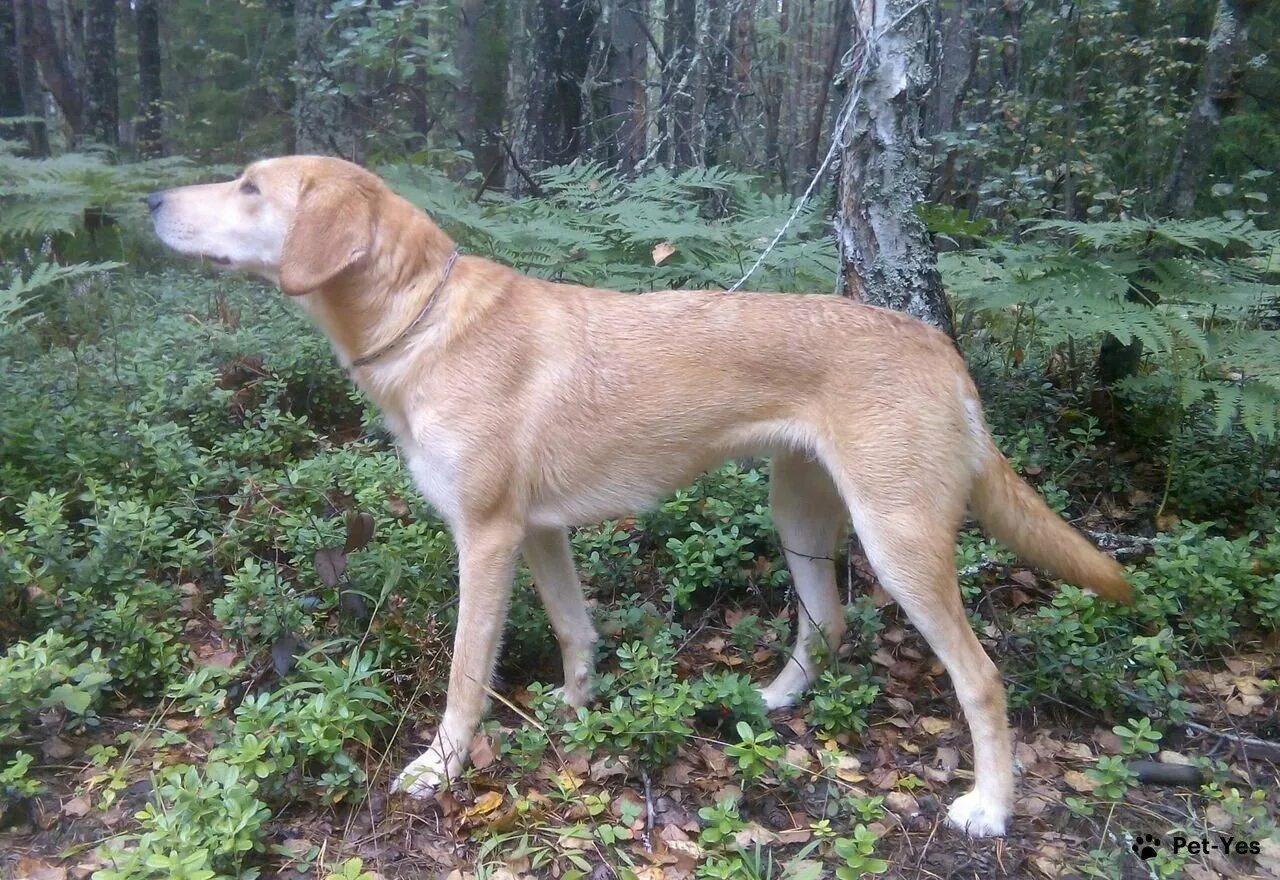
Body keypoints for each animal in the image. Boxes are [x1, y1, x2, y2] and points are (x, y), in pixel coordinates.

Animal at [149, 156, 1131, 839]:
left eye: (250, 187)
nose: (150, 204)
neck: (422, 322)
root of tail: (940, 347)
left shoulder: (486, 538)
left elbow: (467, 675)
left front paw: (440, 767)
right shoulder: (537, 534)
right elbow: (576, 632)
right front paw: (576, 716)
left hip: (900, 542)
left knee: (982, 680)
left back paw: (990, 809)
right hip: (799, 515)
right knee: (828, 622)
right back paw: (773, 701)